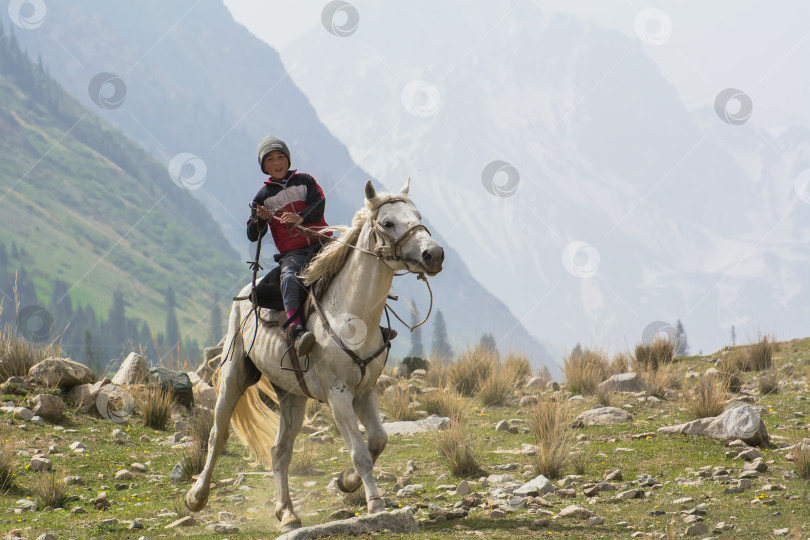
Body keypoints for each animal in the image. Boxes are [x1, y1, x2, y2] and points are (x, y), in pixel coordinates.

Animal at [185, 179, 442, 528]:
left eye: (417, 216)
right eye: (388, 223)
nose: (434, 254)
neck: (353, 316)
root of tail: (246, 291)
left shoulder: (365, 391)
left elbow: (377, 440)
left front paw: (345, 482)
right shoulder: (338, 395)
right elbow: (360, 452)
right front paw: (375, 503)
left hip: (292, 395)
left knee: (280, 450)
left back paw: (287, 513)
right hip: (234, 377)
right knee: (217, 434)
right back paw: (197, 497)